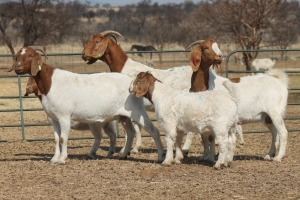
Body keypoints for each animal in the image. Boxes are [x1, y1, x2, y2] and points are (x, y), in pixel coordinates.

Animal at [10, 47, 164, 164]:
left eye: (30, 56)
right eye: (18, 56)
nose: (17, 67)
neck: (50, 84)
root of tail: (131, 83)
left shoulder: (64, 116)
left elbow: (63, 138)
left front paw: (62, 159)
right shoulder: (54, 118)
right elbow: (56, 138)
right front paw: (54, 159)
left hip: (137, 111)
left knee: (153, 130)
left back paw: (160, 156)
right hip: (123, 116)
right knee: (131, 133)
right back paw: (123, 154)